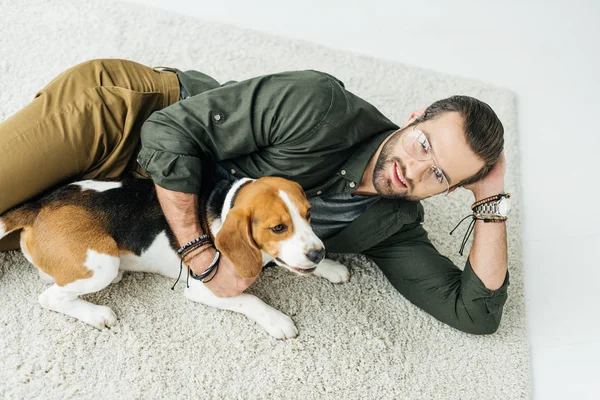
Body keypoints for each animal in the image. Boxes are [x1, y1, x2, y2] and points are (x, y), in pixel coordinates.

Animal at [0, 177, 350, 340]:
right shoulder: (204, 287)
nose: (318, 252)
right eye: (278, 227)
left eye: (309, 214)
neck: (223, 203)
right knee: (50, 297)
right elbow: (249, 299)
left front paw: (330, 267)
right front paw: (277, 320)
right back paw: (96, 314)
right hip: (102, 265)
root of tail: (38, 206)